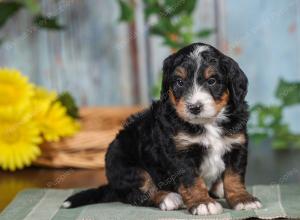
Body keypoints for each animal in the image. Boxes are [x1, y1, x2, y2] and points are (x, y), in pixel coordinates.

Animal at [62, 42, 262, 215]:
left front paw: (242, 199)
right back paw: (168, 198)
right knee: (139, 194)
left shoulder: (236, 144)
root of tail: (112, 184)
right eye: (180, 82)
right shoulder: (180, 153)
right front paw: (202, 203)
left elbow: (234, 176)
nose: (194, 107)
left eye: (212, 81)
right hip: (127, 166)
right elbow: (192, 180)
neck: (207, 122)